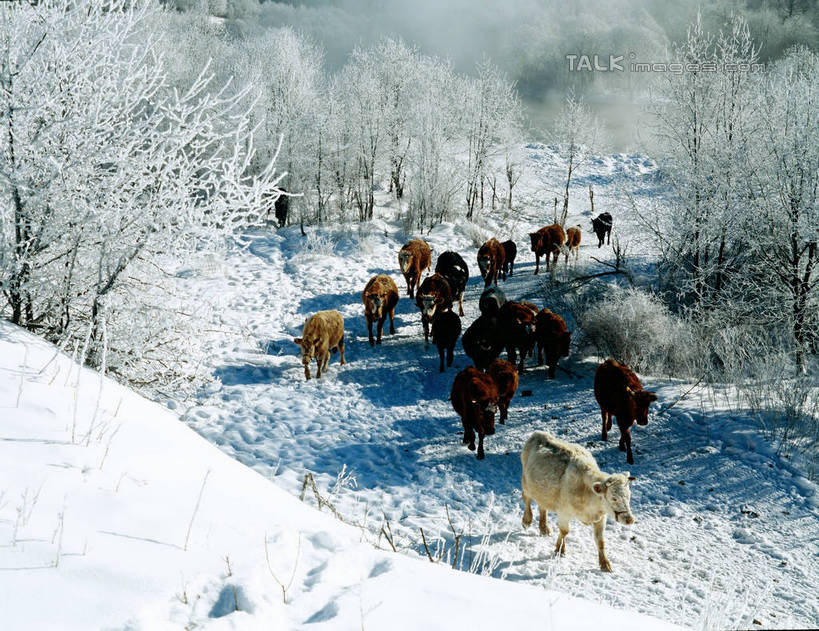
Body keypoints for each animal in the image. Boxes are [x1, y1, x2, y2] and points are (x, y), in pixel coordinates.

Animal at [524, 432, 636, 576]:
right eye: (614, 498)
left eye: (629, 496)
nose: (629, 519)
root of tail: (538, 433)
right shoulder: (564, 513)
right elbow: (564, 531)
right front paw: (559, 550)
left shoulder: (601, 518)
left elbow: (600, 540)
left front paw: (605, 564)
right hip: (525, 482)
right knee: (526, 499)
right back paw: (527, 520)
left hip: (542, 492)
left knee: (542, 506)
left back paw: (544, 528)